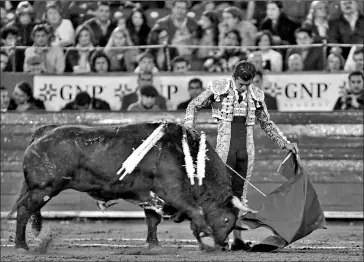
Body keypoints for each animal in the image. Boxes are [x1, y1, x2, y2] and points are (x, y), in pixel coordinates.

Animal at [7, 121, 253, 252]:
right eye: (226, 220)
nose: (222, 246)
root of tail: (45, 131)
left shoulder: (150, 196)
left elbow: (152, 221)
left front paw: (154, 246)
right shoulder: (172, 192)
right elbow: (195, 212)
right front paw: (204, 239)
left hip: (39, 189)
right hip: (43, 189)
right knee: (24, 210)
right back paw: (21, 245)